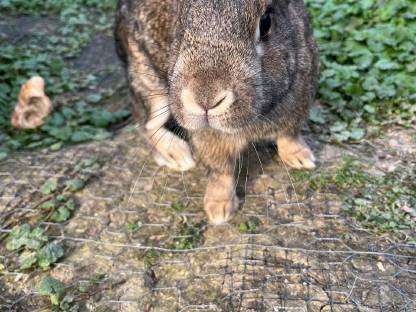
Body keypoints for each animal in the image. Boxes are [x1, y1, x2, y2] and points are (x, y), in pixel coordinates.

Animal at [115, 0, 320, 224]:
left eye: (266, 23)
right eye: (181, 24)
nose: (205, 99)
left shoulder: (298, 101)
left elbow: (288, 137)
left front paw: (301, 158)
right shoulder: (208, 136)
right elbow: (221, 171)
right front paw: (219, 210)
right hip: (151, 87)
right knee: (143, 122)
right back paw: (177, 154)